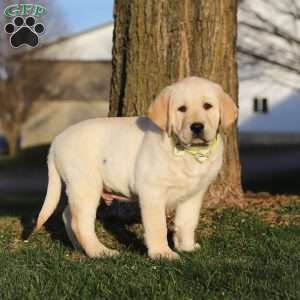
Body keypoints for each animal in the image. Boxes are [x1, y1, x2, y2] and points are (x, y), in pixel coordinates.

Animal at [35, 77, 237, 260]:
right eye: (182, 109)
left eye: (207, 106)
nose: (196, 126)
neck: (188, 152)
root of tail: (56, 141)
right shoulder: (152, 191)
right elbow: (158, 226)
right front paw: (162, 253)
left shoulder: (193, 194)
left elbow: (187, 222)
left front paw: (186, 247)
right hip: (86, 184)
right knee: (80, 223)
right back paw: (99, 251)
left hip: (81, 187)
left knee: (68, 215)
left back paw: (79, 247)